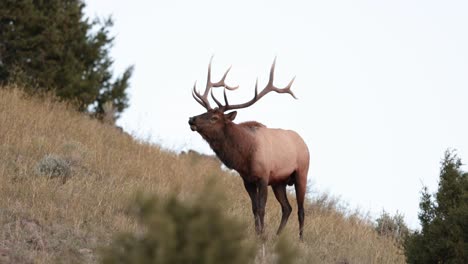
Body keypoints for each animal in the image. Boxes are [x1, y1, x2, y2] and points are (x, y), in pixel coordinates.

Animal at [186, 57, 310, 239]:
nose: (191, 119)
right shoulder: (247, 180)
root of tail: (304, 143)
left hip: (301, 174)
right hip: (279, 182)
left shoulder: (263, 177)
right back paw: (278, 236)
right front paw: (258, 234)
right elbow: (254, 209)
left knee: (301, 210)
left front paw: (262, 236)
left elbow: (262, 208)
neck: (244, 156)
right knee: (287, 208)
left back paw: (300, 240)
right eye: (204, 112)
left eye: (215, 117)